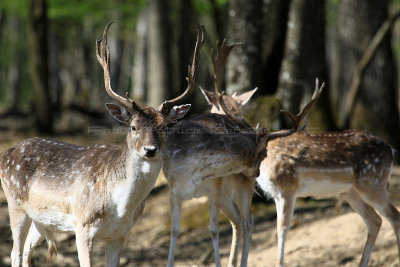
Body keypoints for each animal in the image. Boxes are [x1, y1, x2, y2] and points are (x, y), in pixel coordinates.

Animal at [0, 22, 205, 267]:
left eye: (165, 127)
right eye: (133, 127)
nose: (150, 150)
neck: (120, 205)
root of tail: (6, 153)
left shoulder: (120, 233)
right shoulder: (82, 224)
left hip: (42, 220)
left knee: (26, 252)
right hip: (15, 203)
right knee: (15, 252)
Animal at [161, 39, 324, 267]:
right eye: (263, 154)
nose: (257, 175)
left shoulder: (215, 189)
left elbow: (214, 230)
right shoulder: (174, 190)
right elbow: (175, 231)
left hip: (239, 189)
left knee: (247, 222)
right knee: (238, 222)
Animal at [256, 89, 400, 266]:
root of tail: (391, 150)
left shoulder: (287, 188)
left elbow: (282, 229)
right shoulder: (275, 194)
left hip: (373, 184)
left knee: (394, 217)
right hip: (351, 192)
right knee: (375, 221)